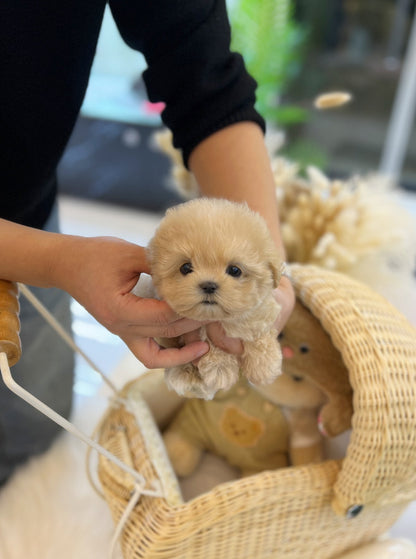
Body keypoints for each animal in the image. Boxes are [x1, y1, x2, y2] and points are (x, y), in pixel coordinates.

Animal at [143, 199, 282, 400]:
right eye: (186, 268)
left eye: (234, 270)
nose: (208, 285)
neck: (219, 318)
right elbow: (210, 342)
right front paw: (220, 368)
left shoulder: (262, 308)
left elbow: (258, 328)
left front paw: (264, 364)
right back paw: (185, 375)